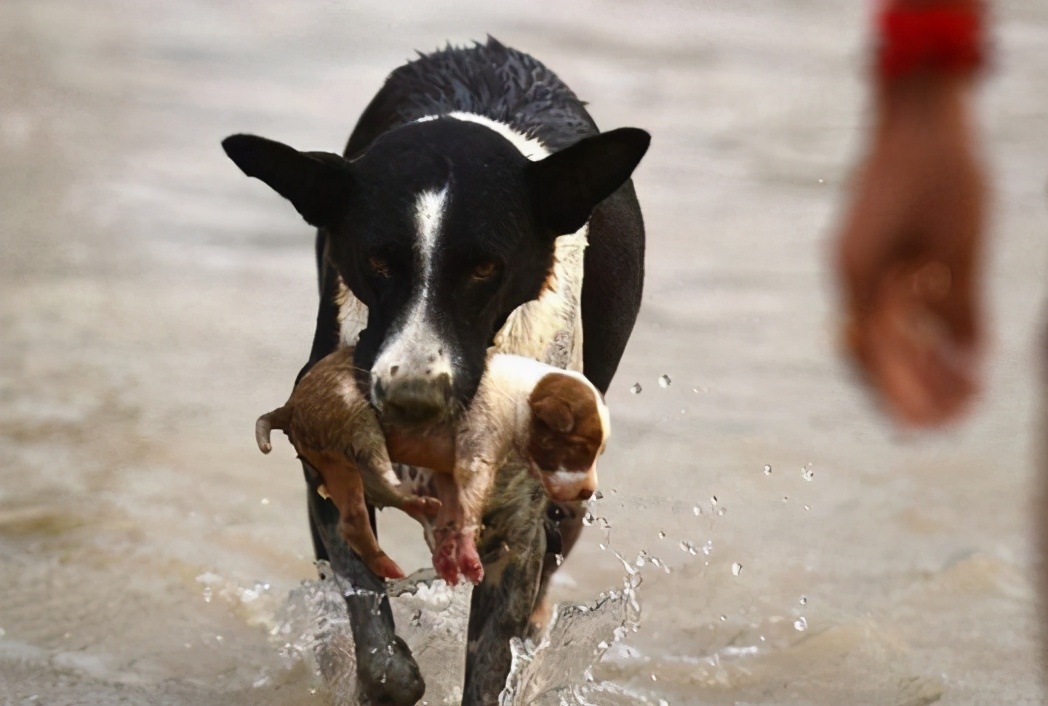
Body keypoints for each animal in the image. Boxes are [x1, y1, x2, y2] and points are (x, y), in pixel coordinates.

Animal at [255, 345, 612, 582]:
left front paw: (448, 550)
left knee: (363, 509)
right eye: (580, 448)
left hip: (340, 463)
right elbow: (469, 506)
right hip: (351, 421)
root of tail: (290, 405)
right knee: (370, 489)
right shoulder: (477, 453)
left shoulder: (449, 471)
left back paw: (409, 525)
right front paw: (466, 553)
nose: (587, 492)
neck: (521, 398)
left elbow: (455, 508)